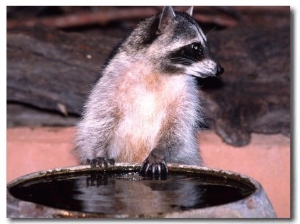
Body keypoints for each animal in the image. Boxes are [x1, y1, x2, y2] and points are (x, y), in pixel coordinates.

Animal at [76, 6, 224, 176]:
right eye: (196, 47)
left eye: (205, 44)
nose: (220, 69)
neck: (160, 71)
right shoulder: (112, 79)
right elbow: (100, 118)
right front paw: (98, 152)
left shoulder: (187, 91)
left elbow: (178, 127)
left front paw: (158, 152)